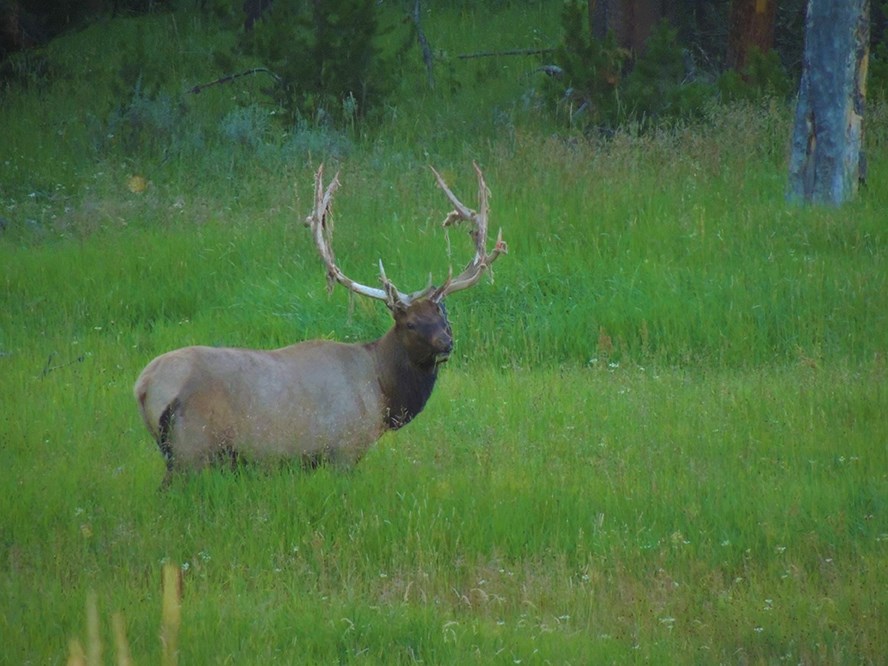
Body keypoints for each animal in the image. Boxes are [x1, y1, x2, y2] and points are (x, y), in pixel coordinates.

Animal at [134, 161, 506, 482]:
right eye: (409, 324)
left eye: (444, 316)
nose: (446, 343)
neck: (383, 393)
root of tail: (144, 385)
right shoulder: (344, 449)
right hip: (191, 449)